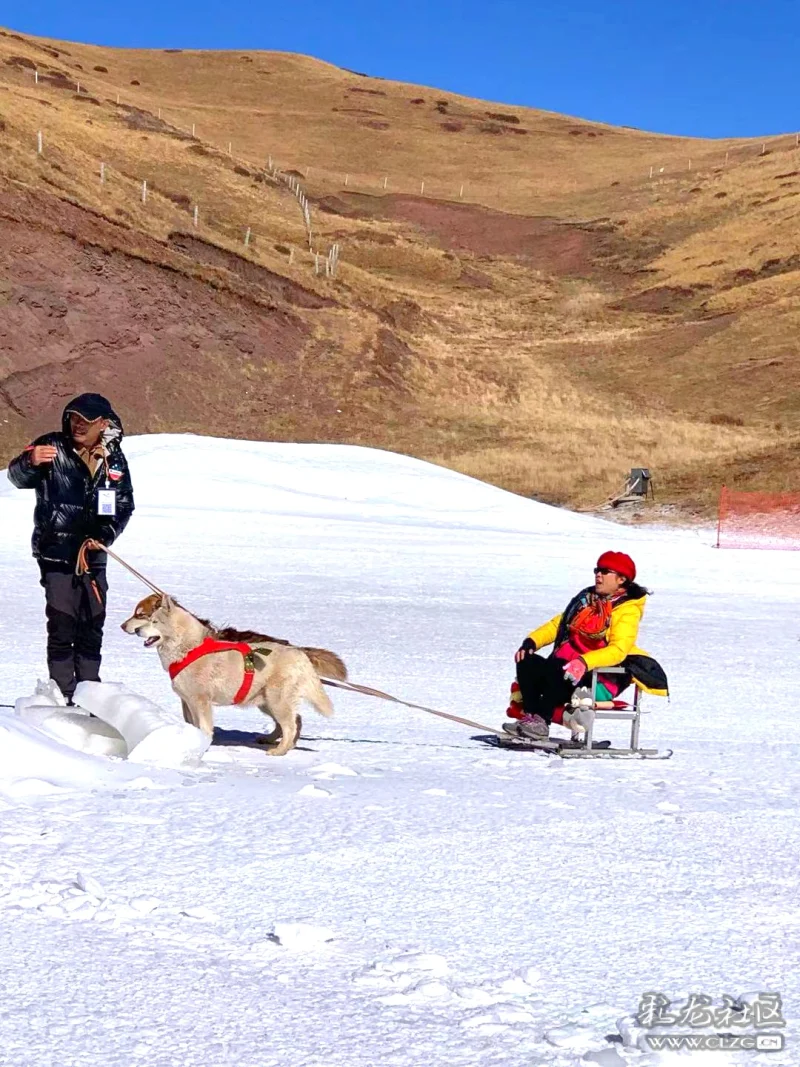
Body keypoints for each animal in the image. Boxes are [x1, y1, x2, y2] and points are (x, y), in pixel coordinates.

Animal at [120, 593, 345, 759]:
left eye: (151, 620)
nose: (135, 630)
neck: (189, 648)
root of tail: (299, 653)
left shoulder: (201, 701)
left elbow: (204, 727)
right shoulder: (187, 701)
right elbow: (192, 725)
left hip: (276, 700)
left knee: (290, 725)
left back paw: (280, 750)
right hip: (266, 701)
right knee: (293, 720)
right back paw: (273, 740)